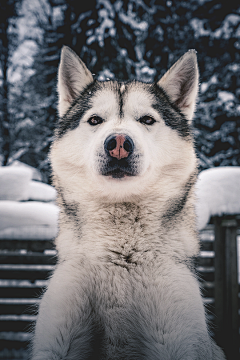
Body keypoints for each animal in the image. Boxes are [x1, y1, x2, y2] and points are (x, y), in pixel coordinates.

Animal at [31, 47, 225, 360]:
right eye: (95, 120)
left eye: (147, 120)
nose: (119, 142)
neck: (119, 259)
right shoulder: (57, 339)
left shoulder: (175, 337)